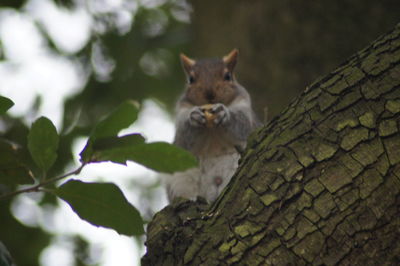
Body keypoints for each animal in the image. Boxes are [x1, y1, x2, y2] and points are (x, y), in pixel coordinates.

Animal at [162, 48, 260, 202]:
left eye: (228, 76)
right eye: (191, 79)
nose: (209, 94)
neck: (212, 128)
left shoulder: (244, 108)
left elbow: (240, 124)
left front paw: (224, 113)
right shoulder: (181, 113)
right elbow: (185, 134)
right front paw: (193, 117)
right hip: (179, 178)